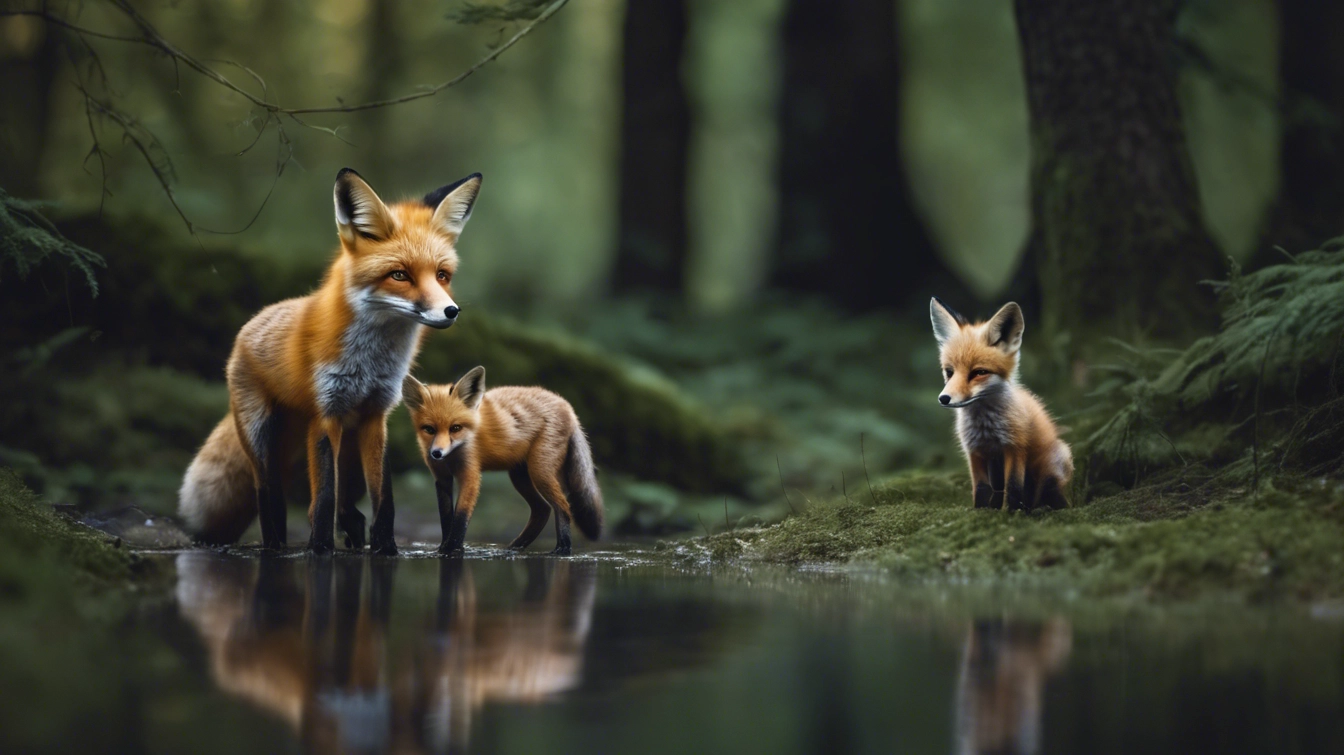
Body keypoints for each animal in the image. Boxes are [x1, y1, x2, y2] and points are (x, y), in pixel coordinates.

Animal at [178, 168, 483, 554]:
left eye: (442, 275)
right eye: (399, 275)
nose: (450, 311)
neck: (370, 362)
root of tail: (250, 324)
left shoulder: (376, 415)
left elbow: (384, 497)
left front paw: (385, 549)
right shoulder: (325, 414)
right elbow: (322, 497)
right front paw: (320, 549)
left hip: (344, 449)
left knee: (346, 506)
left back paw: (345, 537)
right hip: (262, 437)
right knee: (269, 495)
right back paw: (275, 546)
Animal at [401, 366, 604, 555]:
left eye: (455, 428)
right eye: (429, 429)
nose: (437, 453)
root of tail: (568, 407)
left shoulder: (470, 475)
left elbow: (460, 517)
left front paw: (453, 549)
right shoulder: (442, 479)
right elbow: (446, 518)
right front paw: (443, 548)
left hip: (539, 471)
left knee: (563, 507)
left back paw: (562, 549)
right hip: (519, 476)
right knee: (542, 509)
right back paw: (515, 547)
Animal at [930, 298, 1073, 511]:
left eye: (979, 372)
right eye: (949, 372)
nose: (944, 398)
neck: (986, 430)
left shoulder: (1015, 446)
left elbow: (1013, 486)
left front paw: (1012, 512)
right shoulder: (974, 451)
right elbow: (981, 488)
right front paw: (981, 511)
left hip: (1054, 462)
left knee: (1051, 492)